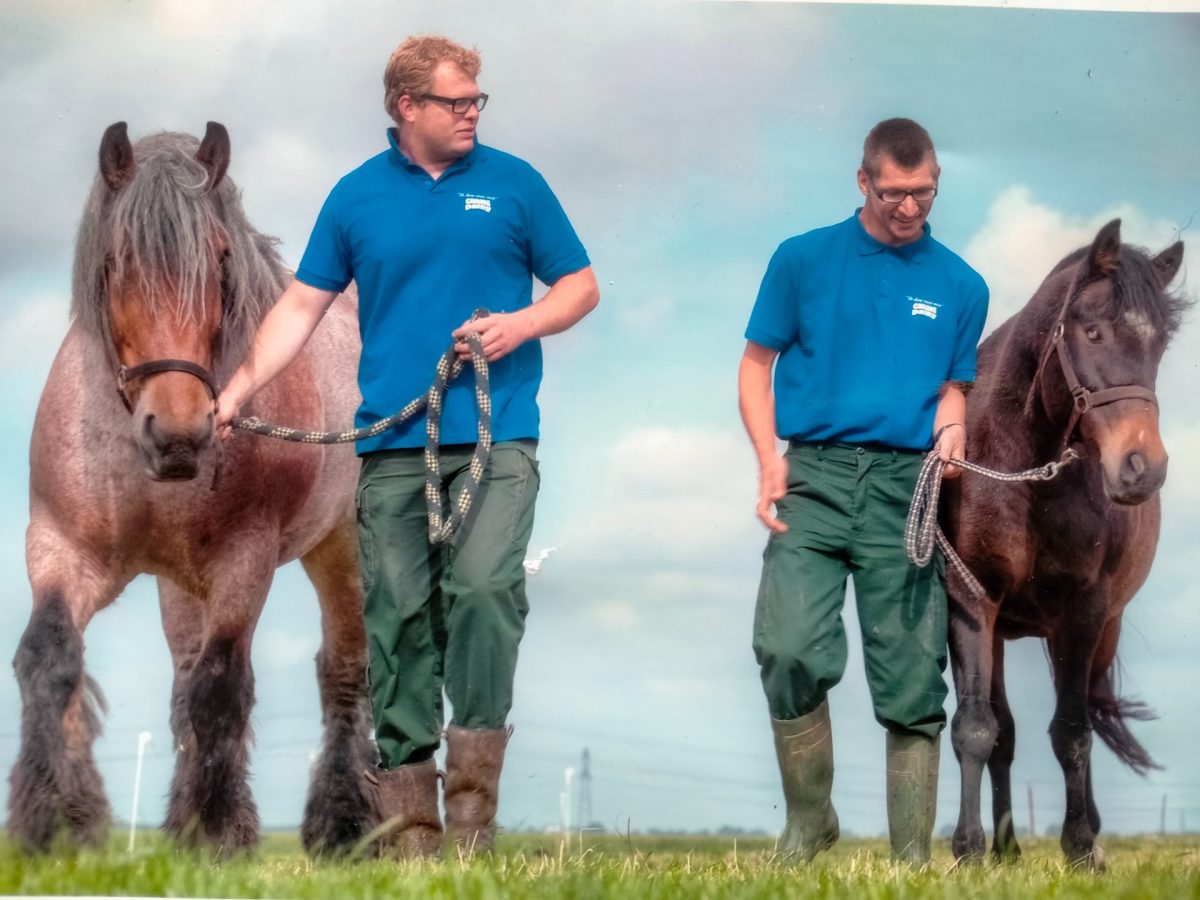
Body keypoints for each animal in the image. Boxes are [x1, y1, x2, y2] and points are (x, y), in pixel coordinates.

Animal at [7, 123, 376, 854]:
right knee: (181, 676)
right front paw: (55, 823)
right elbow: (50, 659)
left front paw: (219, 833)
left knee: (343, 672)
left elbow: (220, 687)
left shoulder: (246, 562)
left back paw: (341, 827)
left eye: (223, 258)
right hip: (180, 583)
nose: (178, 433)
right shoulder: (61, 550)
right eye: (117, 259)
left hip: (339, 550)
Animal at [945, 217, 1190, 868]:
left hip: (1101, 630)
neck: (1025, 465)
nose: (1142, 468)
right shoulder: (971, 602)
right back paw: (1006, 847)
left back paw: (1092, 836)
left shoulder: (1084, 611)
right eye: (1093, 329)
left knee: (1084, 719)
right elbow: (978, 728)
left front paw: (1080, 848)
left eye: (1160, 344)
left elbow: (1073, 733)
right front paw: (970, 850)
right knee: (1004, 732)